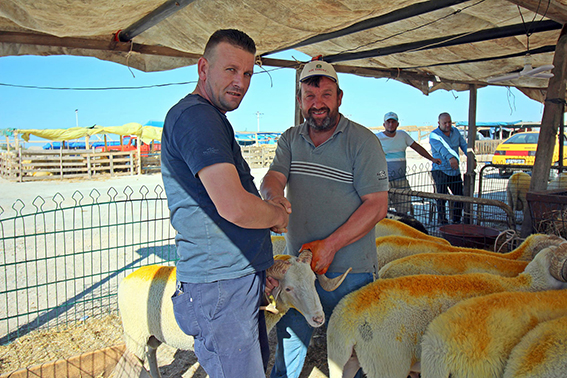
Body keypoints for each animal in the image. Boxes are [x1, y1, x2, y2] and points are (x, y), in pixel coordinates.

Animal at [119, 251, 348, 378]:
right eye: (288, 288)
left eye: (313, 281)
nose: (319, 318)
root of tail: (127, 278)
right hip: (134, 336)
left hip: (152, 336)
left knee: (151, 353)